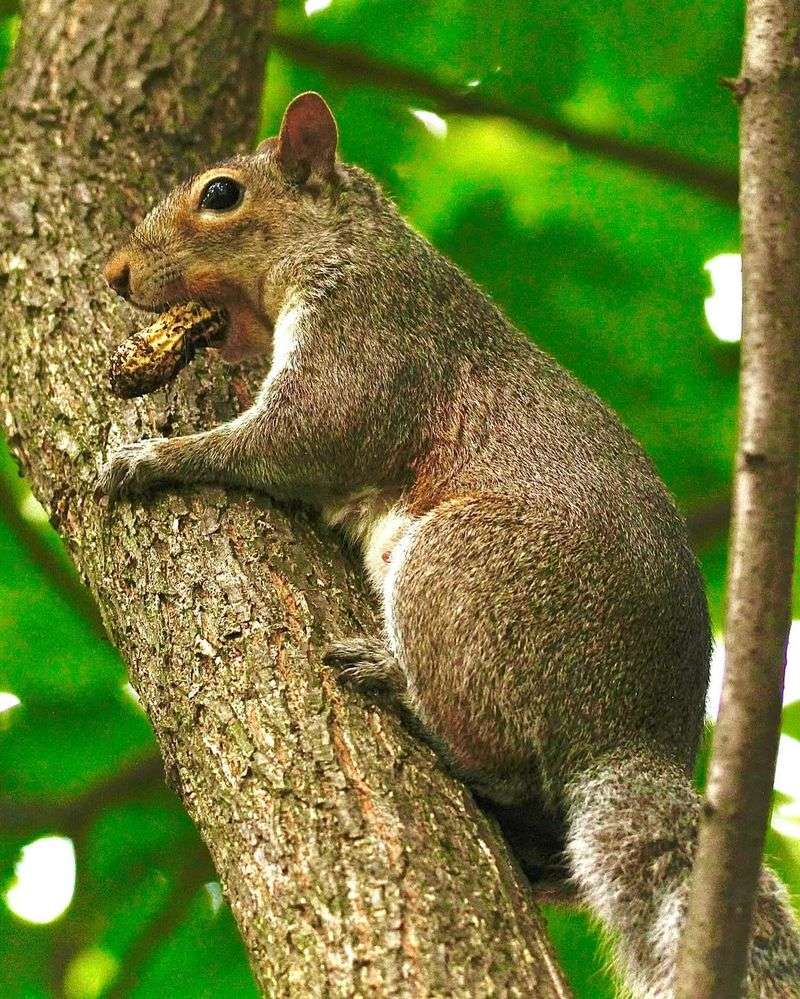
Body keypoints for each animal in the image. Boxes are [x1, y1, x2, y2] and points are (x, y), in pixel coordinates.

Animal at [100, 92, 800, 997]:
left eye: (220, 195)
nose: (116, 275)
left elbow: (296, 438)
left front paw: (155, 458)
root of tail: (623, 730)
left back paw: (398, 685)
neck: (353, 242)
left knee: (501, 751)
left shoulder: (369, 336)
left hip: (463, 570)